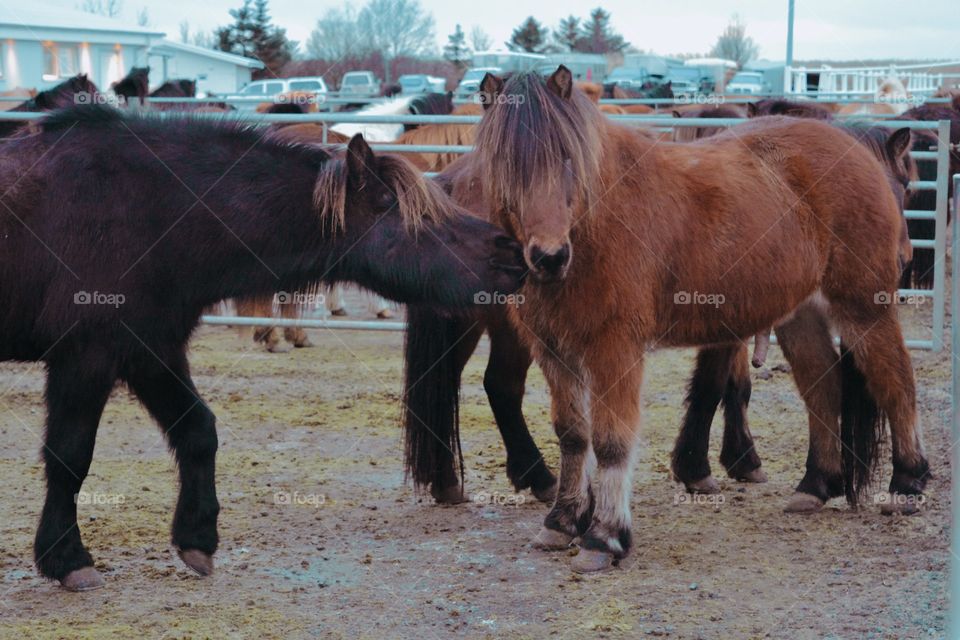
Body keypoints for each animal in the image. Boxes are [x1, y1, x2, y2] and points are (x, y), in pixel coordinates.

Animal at [1, 104, 525, 591]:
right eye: (421, 215)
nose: (513, 255)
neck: (146, 208)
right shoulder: (86, 356)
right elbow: (69, 456)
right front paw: (67, 559)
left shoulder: (149, 349)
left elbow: (198, 430)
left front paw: (197, 540)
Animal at [404, 67, 928, 573]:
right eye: (505, 164)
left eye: (567, 159)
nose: (549, 257)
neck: (593, 225)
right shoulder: (556, 349)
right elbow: (573, 434)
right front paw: (562, 522)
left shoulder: (615, 347)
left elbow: (612, 440)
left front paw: (604, 536)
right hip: (801, 314)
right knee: (823, 386)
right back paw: (816, 485)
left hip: (861, 306)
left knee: (895, 382)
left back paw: (906, 484)